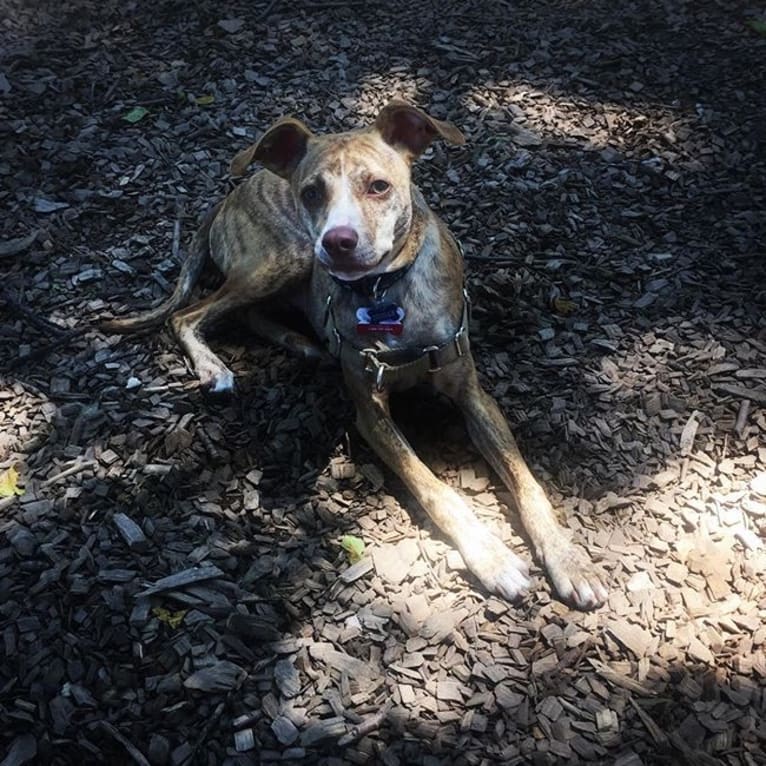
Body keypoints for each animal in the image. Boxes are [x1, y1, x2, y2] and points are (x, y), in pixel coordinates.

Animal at [102, 99, 608, 612]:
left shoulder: (474, 395)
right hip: (284, 257)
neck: (386, 292)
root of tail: (231, 194)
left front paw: (569, 559)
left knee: (245, 313)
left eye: (378, 186)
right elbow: (434, 487)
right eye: (310, 193)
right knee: (187, 315)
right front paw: (492, 556)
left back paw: (301, 343)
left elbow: (527, 482)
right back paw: (216, 367)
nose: (338, 240)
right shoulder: (371, 412)